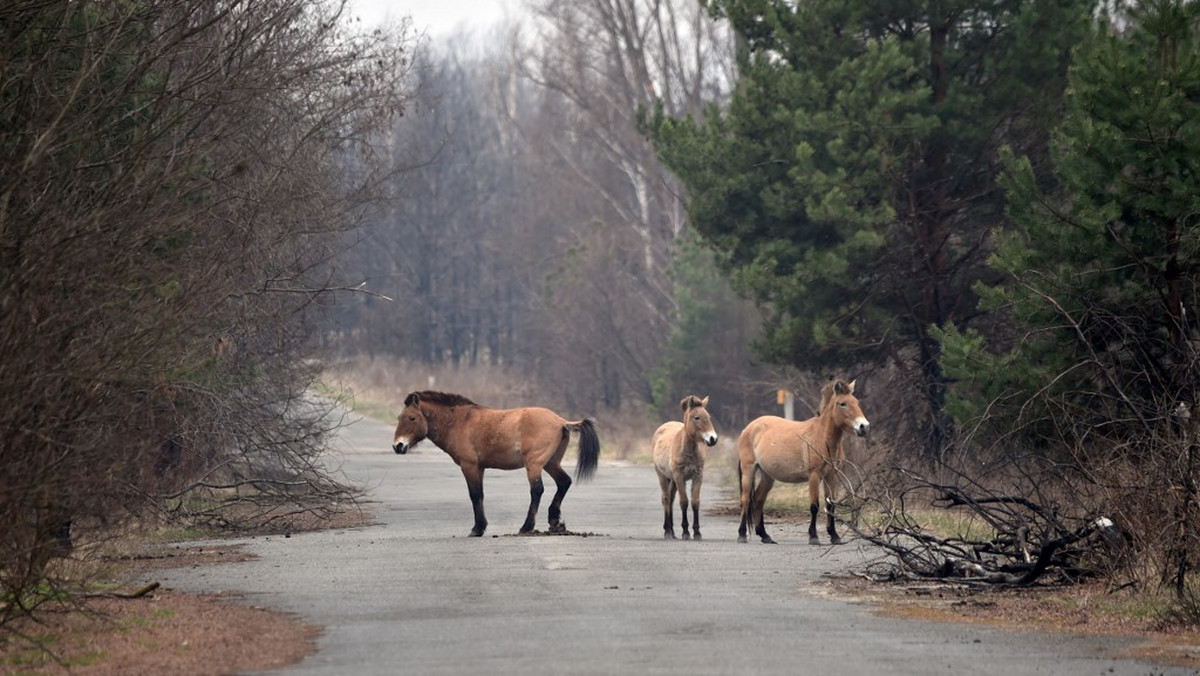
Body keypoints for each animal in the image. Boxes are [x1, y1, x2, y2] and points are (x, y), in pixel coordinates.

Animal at [391, 391, 600, 540]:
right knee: (564, 482)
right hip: (551, 463)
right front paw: (480, 527)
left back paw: (527, 526)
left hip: (534, 464)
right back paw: (554, 521)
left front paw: (477, 529)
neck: (459, 421)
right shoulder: (480, 468)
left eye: (411, 418)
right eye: (399, 418)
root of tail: (561, 422)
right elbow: (480, 495)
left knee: (537, 490)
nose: (397, 446)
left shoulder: (469, 466)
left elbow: (475, 495)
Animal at [652, 393, 715, 542]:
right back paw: (667, 531)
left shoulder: (698, 476)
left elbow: (695, 502)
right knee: (666, 499)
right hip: (663, 476)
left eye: (709, 417)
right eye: (696, 417)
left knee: (670, 500)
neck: (688, 450)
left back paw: (672, 532)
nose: (713, 439)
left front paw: (697, 533)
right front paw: (686, 532)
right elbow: (684, 502)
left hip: (673, 481)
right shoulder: (679, 477)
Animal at [734, 381, 868, 545]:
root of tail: (749, 428)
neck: (822, 437)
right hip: (749, 470)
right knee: (746, 500)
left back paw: (765, 536)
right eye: (842, 404)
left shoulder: (831, 476)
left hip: (767, 475)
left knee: (759, 500)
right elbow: (814, 506)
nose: (864, 426)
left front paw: (834, 536)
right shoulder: (814, 475)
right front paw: (814, 537)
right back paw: (742, 535)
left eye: (857, 402)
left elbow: (830, 505)